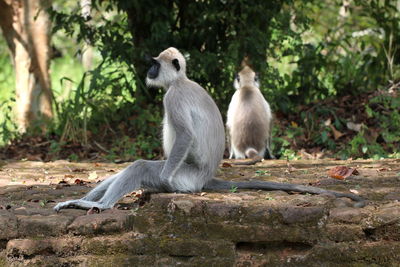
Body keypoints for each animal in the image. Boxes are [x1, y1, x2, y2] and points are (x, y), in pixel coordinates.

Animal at [53, 47, 366, 213]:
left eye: (155, 65)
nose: (149, 72)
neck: (180, 81)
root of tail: (205, 178)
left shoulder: (174, 98)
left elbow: (185, 136)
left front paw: (162, 178)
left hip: (186, 178)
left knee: (142, 167)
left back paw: (100, 205)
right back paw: (82, 200)